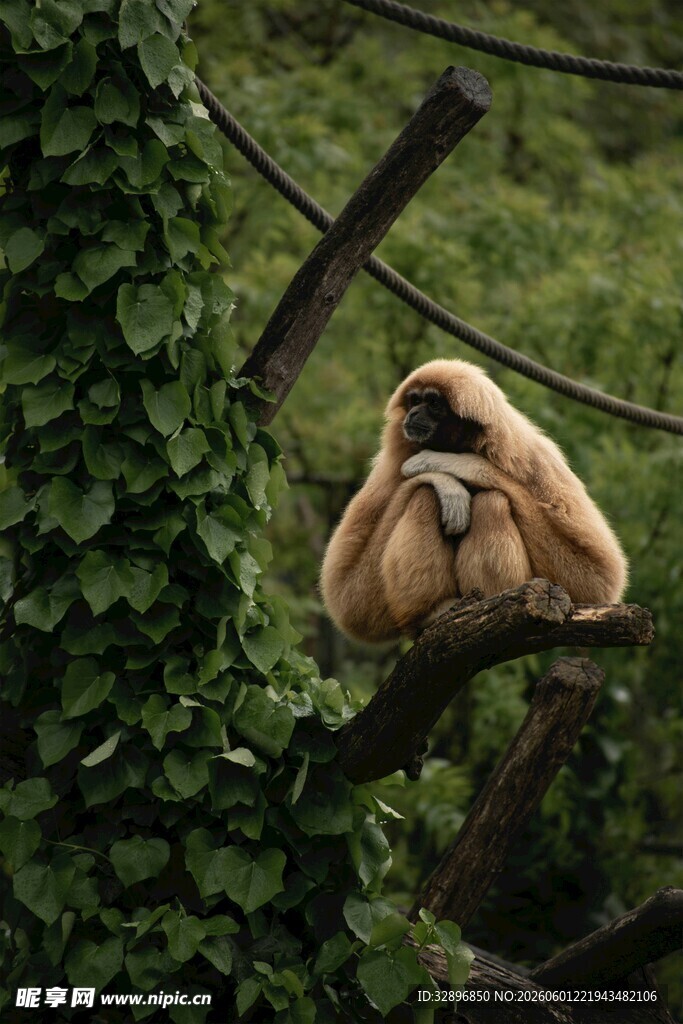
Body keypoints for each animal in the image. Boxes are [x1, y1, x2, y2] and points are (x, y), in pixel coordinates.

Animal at [320, 359, 628, 643]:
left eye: (433, 403)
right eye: (415, 400)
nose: (415, 412)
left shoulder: (532, 457)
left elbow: (594, 578)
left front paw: (450, 464)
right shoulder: (392, 463)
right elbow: (348, 599)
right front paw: (447, 484)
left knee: (492, 500)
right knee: (424, 494)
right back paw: (430, 612)